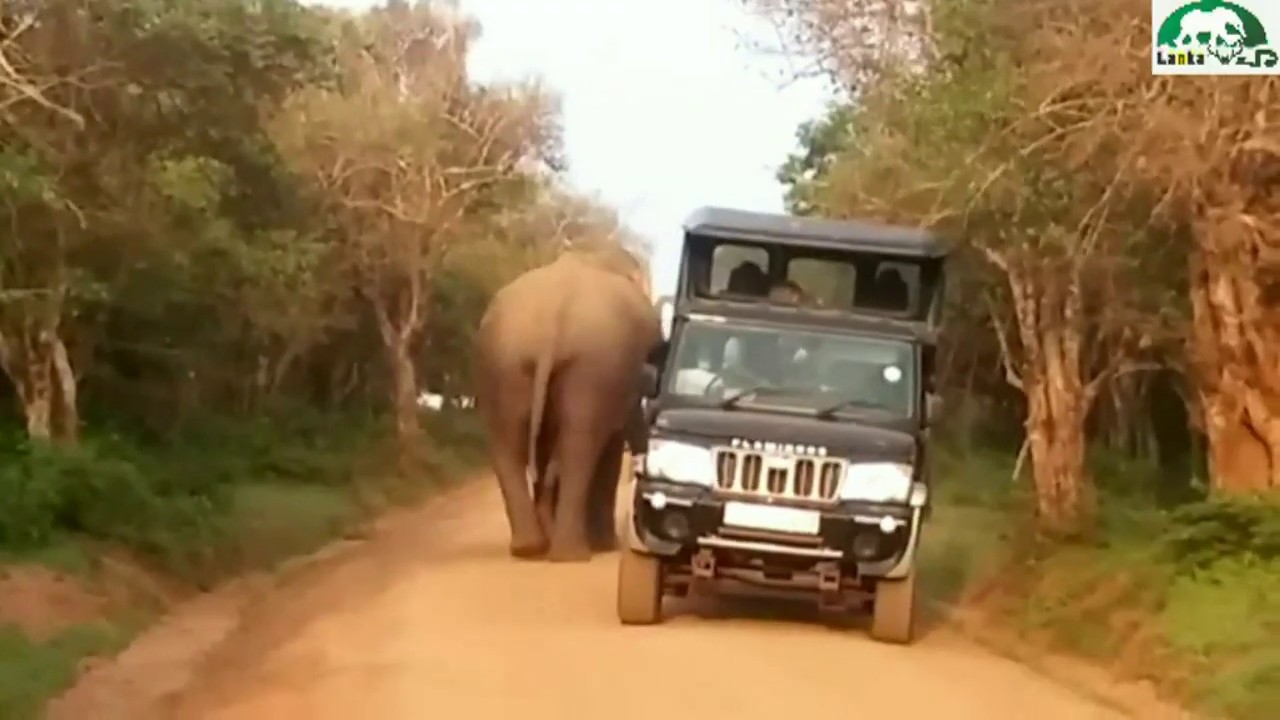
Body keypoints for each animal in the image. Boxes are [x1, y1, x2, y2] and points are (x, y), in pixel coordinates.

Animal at [474, 247, 662, 562]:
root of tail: (552, 315)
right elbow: (610, 445)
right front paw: (606, 545)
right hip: (590, 364)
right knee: (579, 444)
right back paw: (570, 552)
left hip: (505, 361)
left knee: (510, 441)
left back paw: (532, 548)